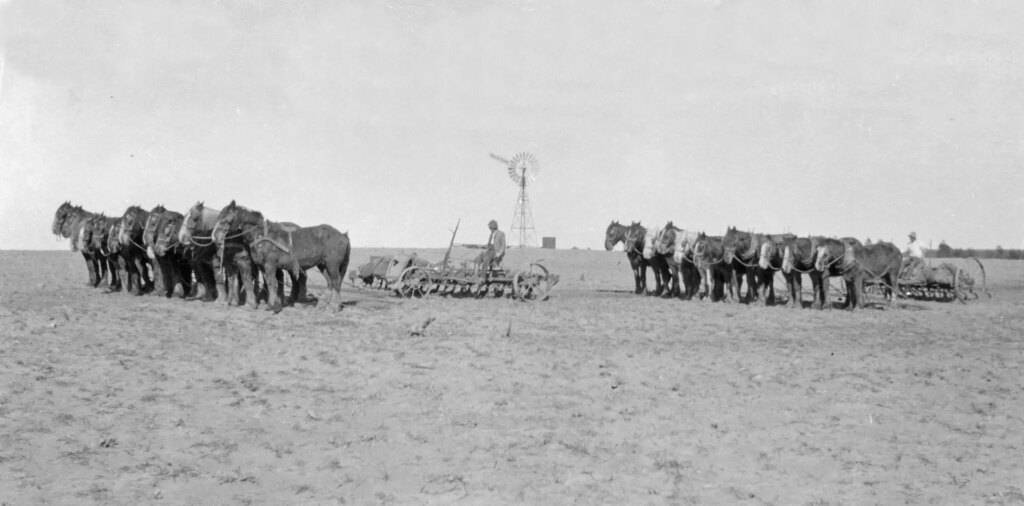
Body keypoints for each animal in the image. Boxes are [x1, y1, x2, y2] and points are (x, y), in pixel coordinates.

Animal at [212, 200, 352, 311]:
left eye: (227, 217)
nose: (215, 237)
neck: (262, 235)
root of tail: (343, 235)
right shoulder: (263, 266)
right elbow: (269, 283)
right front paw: (271, 303)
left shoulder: (270, 264)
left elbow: (272, 283)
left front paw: (273, 306)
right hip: (323, 265)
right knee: (330, 282)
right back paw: (323, 305)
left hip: (332, 264)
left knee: (336, 281)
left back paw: (334, 306)